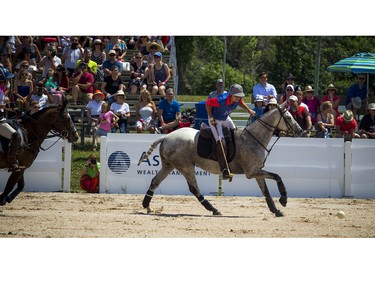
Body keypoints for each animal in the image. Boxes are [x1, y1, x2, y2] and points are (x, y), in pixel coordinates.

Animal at [140, 103, 304, 217]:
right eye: (288, 117)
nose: (301, 130)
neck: (253, 139)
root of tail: (166, 137)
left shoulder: (257, 171)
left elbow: (266, 191)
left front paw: (276, 210)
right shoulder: (252, 172)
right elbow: (277, 176)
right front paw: (283, 199)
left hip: (169, 166)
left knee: (155, 181)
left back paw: (147, 206)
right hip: (186, 166)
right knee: (194, 188)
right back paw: (214, 209)